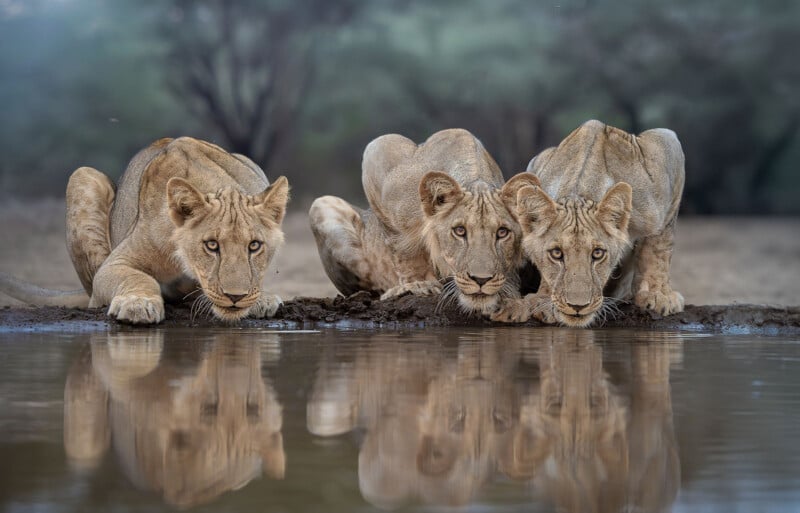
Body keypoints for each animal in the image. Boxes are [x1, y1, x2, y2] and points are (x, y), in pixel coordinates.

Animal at [0, 137, 289, 324]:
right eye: (211, 245)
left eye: (254, 245)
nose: (235, 297)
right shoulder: (115, 264)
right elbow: (138, 277)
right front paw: (138, 304)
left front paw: (260, 299)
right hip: (83, 176)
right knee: (93, 298)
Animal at [309, 129, 540, 315]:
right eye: (459, 231)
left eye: (502, 232)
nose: (481, 280)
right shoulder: (378, 153)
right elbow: (402, 247)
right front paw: (417, 284)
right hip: (321, 204)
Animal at [492, 120, 685, 326]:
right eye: (556, 254)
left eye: (598, 253)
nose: (578, 306)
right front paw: (543, 301)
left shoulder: (667, 145)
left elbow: (658, 246)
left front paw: (658, 296)